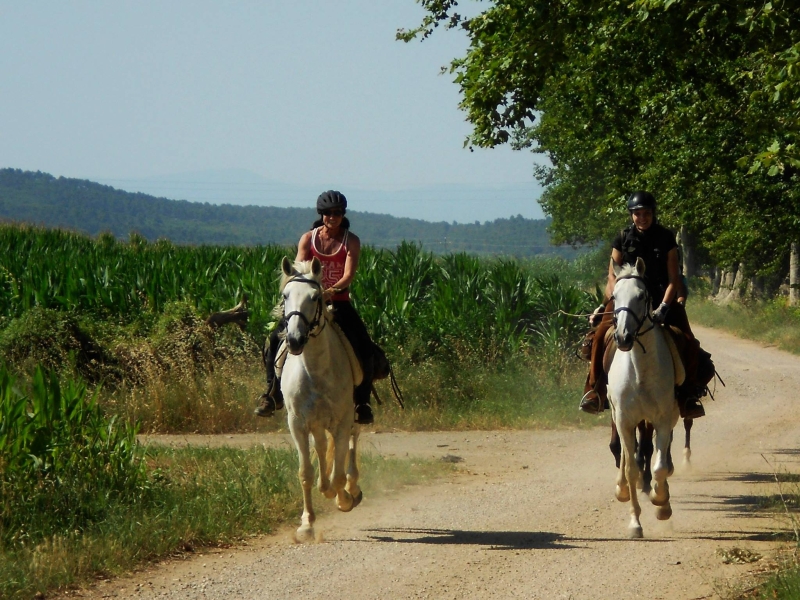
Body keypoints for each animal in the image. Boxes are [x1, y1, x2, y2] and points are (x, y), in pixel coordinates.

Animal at [276, 255, 360, 540]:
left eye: (315, 297)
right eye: (285, 295)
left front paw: (344, 499)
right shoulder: (298, 423)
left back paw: (352, 489)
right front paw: (306, 524)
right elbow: (306, 472)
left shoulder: (342, 421)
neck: (315, 369)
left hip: (354, 414)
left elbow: (338, 471)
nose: (294, 340)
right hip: (316, 423)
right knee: (323, 448)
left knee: (353, 444)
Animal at [608, 258, 680, 540]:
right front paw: (634, 523)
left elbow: (659, 467)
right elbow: (631, 469)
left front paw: (661, 503)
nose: (623, 337)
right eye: (614, 297)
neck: (640, 371)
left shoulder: (662, 419)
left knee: (662, 458)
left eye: (641, 296)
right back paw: (621, 489)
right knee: (627, 456)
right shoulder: (624, 420)